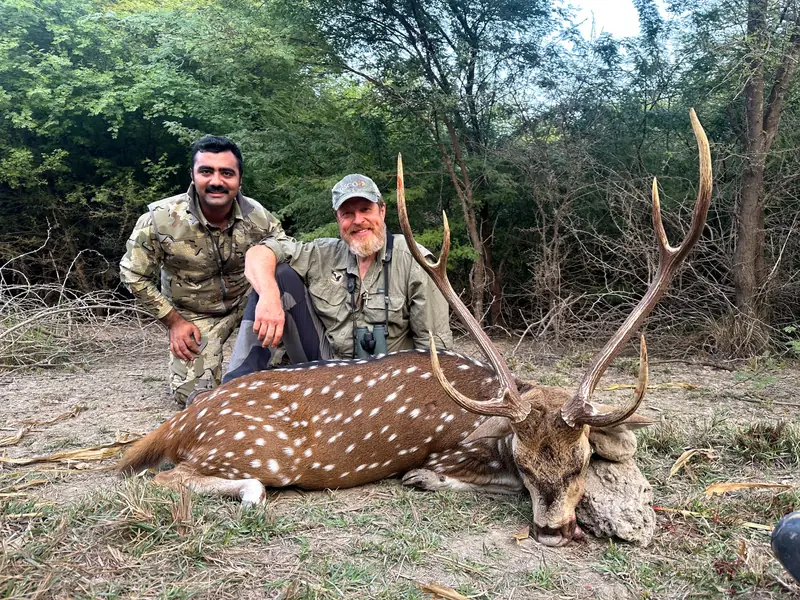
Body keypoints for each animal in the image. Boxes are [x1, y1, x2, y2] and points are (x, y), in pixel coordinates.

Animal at [119, 109, 712, 547]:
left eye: (583, 459)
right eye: (522, 459)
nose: (552, 532)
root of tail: (179, 423)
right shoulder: (456, 451)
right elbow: (453, 477)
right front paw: (422, 478)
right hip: (247, 448)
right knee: (165, 476)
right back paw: (247, 492)